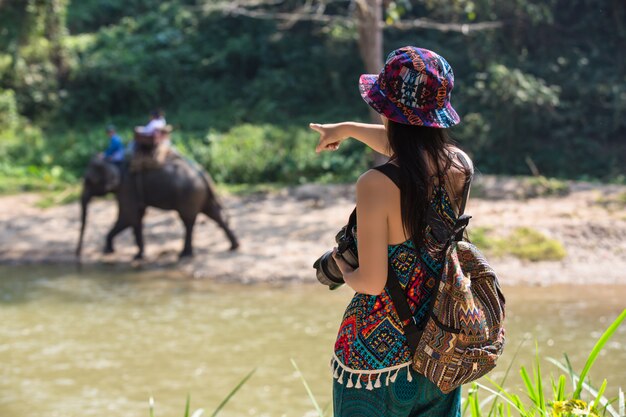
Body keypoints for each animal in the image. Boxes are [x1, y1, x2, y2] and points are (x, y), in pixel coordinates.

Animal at [75, 154, 236, 260]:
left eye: (88, 181)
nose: (78, 254)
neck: (115, 162)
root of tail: (204, 175)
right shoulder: (130, 190)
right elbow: (135, 217)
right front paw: (133, 255)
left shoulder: (127, 188)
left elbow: (128, 217)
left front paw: (120, 253)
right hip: (199, 194)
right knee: (214, 214)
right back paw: (234, 246)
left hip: (190, 194)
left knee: (188, 220)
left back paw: (185, 254)